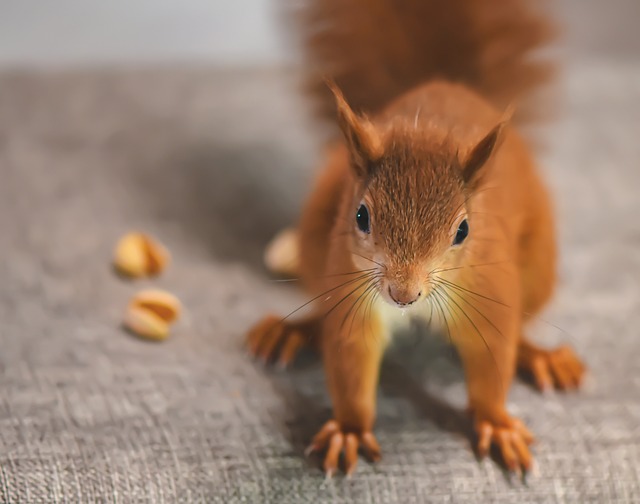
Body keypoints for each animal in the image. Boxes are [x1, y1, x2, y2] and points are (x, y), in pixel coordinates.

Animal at [245, 0, 584, 476]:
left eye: (463, 230)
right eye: (361, 215)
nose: (402, 294)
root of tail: (444, 81)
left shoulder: (488, 290)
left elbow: (494, 354)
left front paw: (497, 422)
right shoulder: (351, 290)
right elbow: (350, 353)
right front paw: (349, 428)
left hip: (537, 263)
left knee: (523, 326)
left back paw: (540, 356)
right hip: (316, 237)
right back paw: (294, 330)